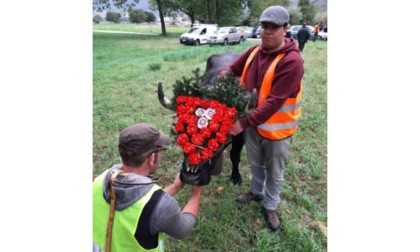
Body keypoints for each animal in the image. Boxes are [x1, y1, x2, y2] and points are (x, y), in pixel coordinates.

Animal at [159, 51, 254, 186]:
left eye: (216, 137)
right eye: (182, 135)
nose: (190, 178)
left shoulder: (240, 135)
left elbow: (235, 156)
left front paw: (236, 177)